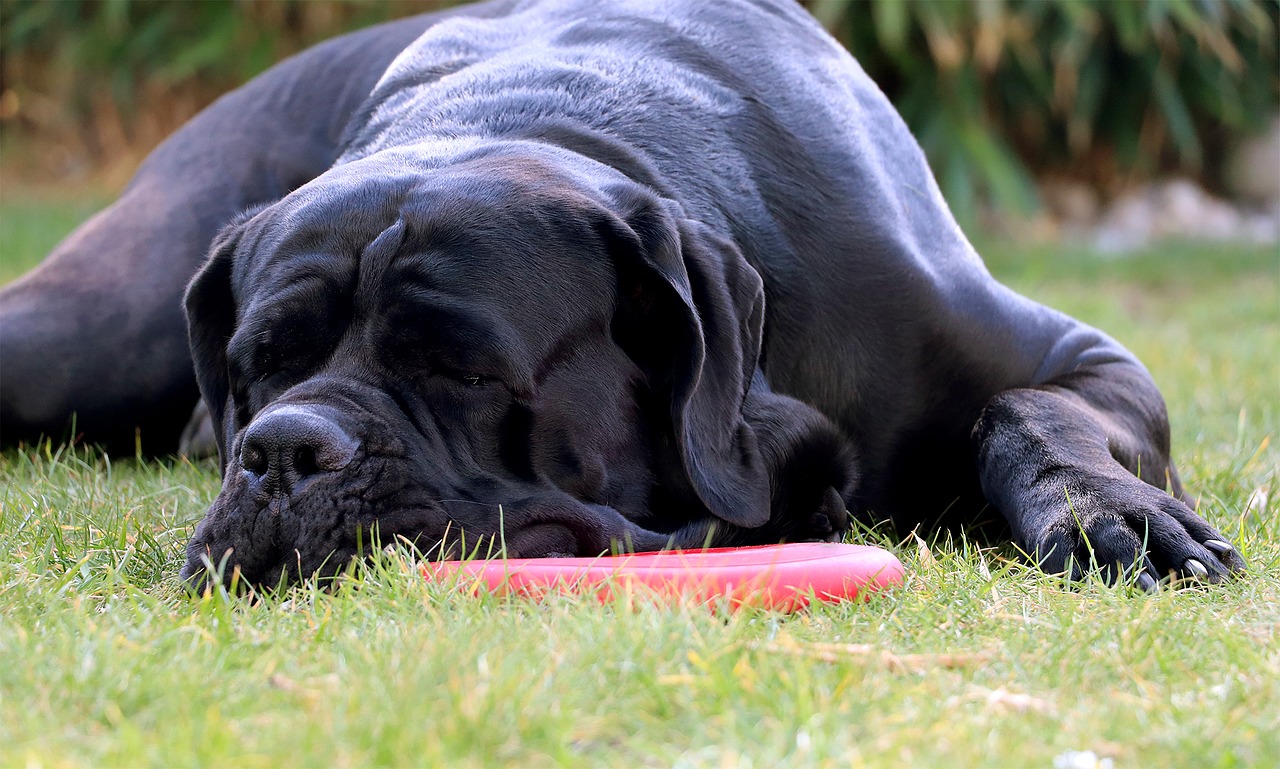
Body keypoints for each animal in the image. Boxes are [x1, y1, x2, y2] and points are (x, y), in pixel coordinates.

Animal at [0, 0, 1239, 591]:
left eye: (461, 368)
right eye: (259, 365)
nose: (280, 449)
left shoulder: (1075, 355)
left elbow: (1027, 408)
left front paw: (1108, 512)